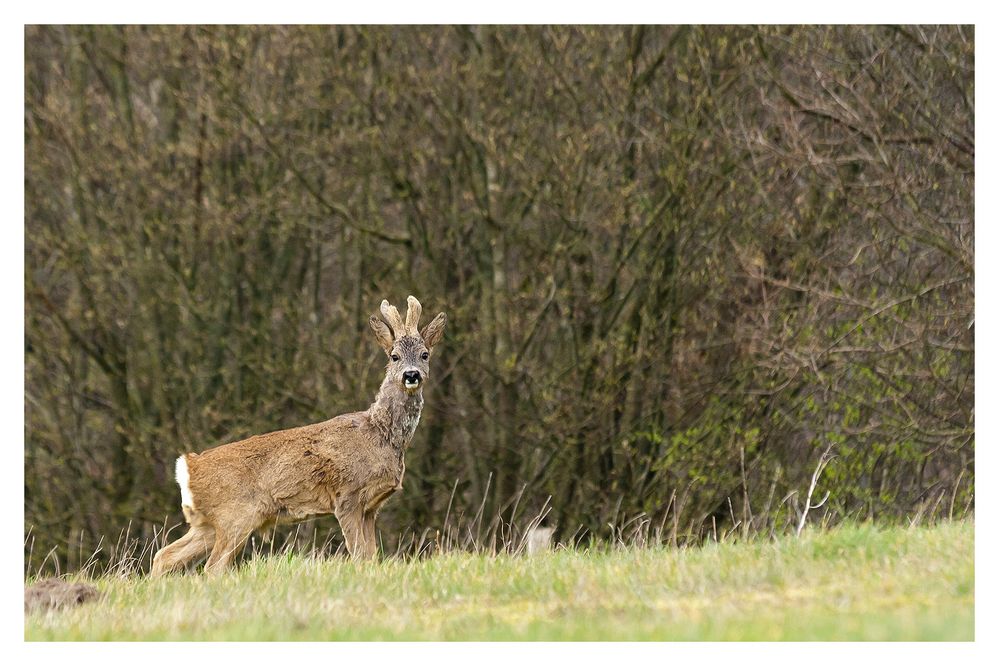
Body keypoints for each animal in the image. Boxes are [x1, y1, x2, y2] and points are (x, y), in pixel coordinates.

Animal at [150, 294, 448, 572]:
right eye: (393, 356)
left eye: (425, 354)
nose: (411, 375)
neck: (380, 435)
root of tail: (187, 466)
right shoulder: (347, 497)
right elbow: (359, 555)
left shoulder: (371, 507)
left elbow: (371, 557)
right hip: (235, 516)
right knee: (212, 568)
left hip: (208, 524)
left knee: (164, 556)